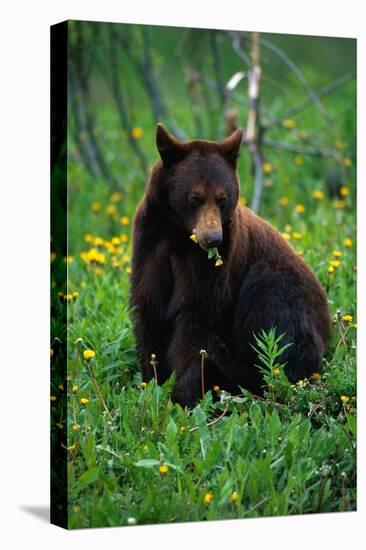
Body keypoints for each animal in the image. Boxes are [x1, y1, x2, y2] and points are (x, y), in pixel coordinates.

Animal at [130, 125, 330, 410]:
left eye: (223, 198)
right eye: (195, 198)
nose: (213, 238)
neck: (179, 236)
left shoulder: (214, 264)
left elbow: (198, 318)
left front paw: (183, 394)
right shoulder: (150, 244)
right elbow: (150, 311)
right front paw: (153, 383)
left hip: (278, 287)